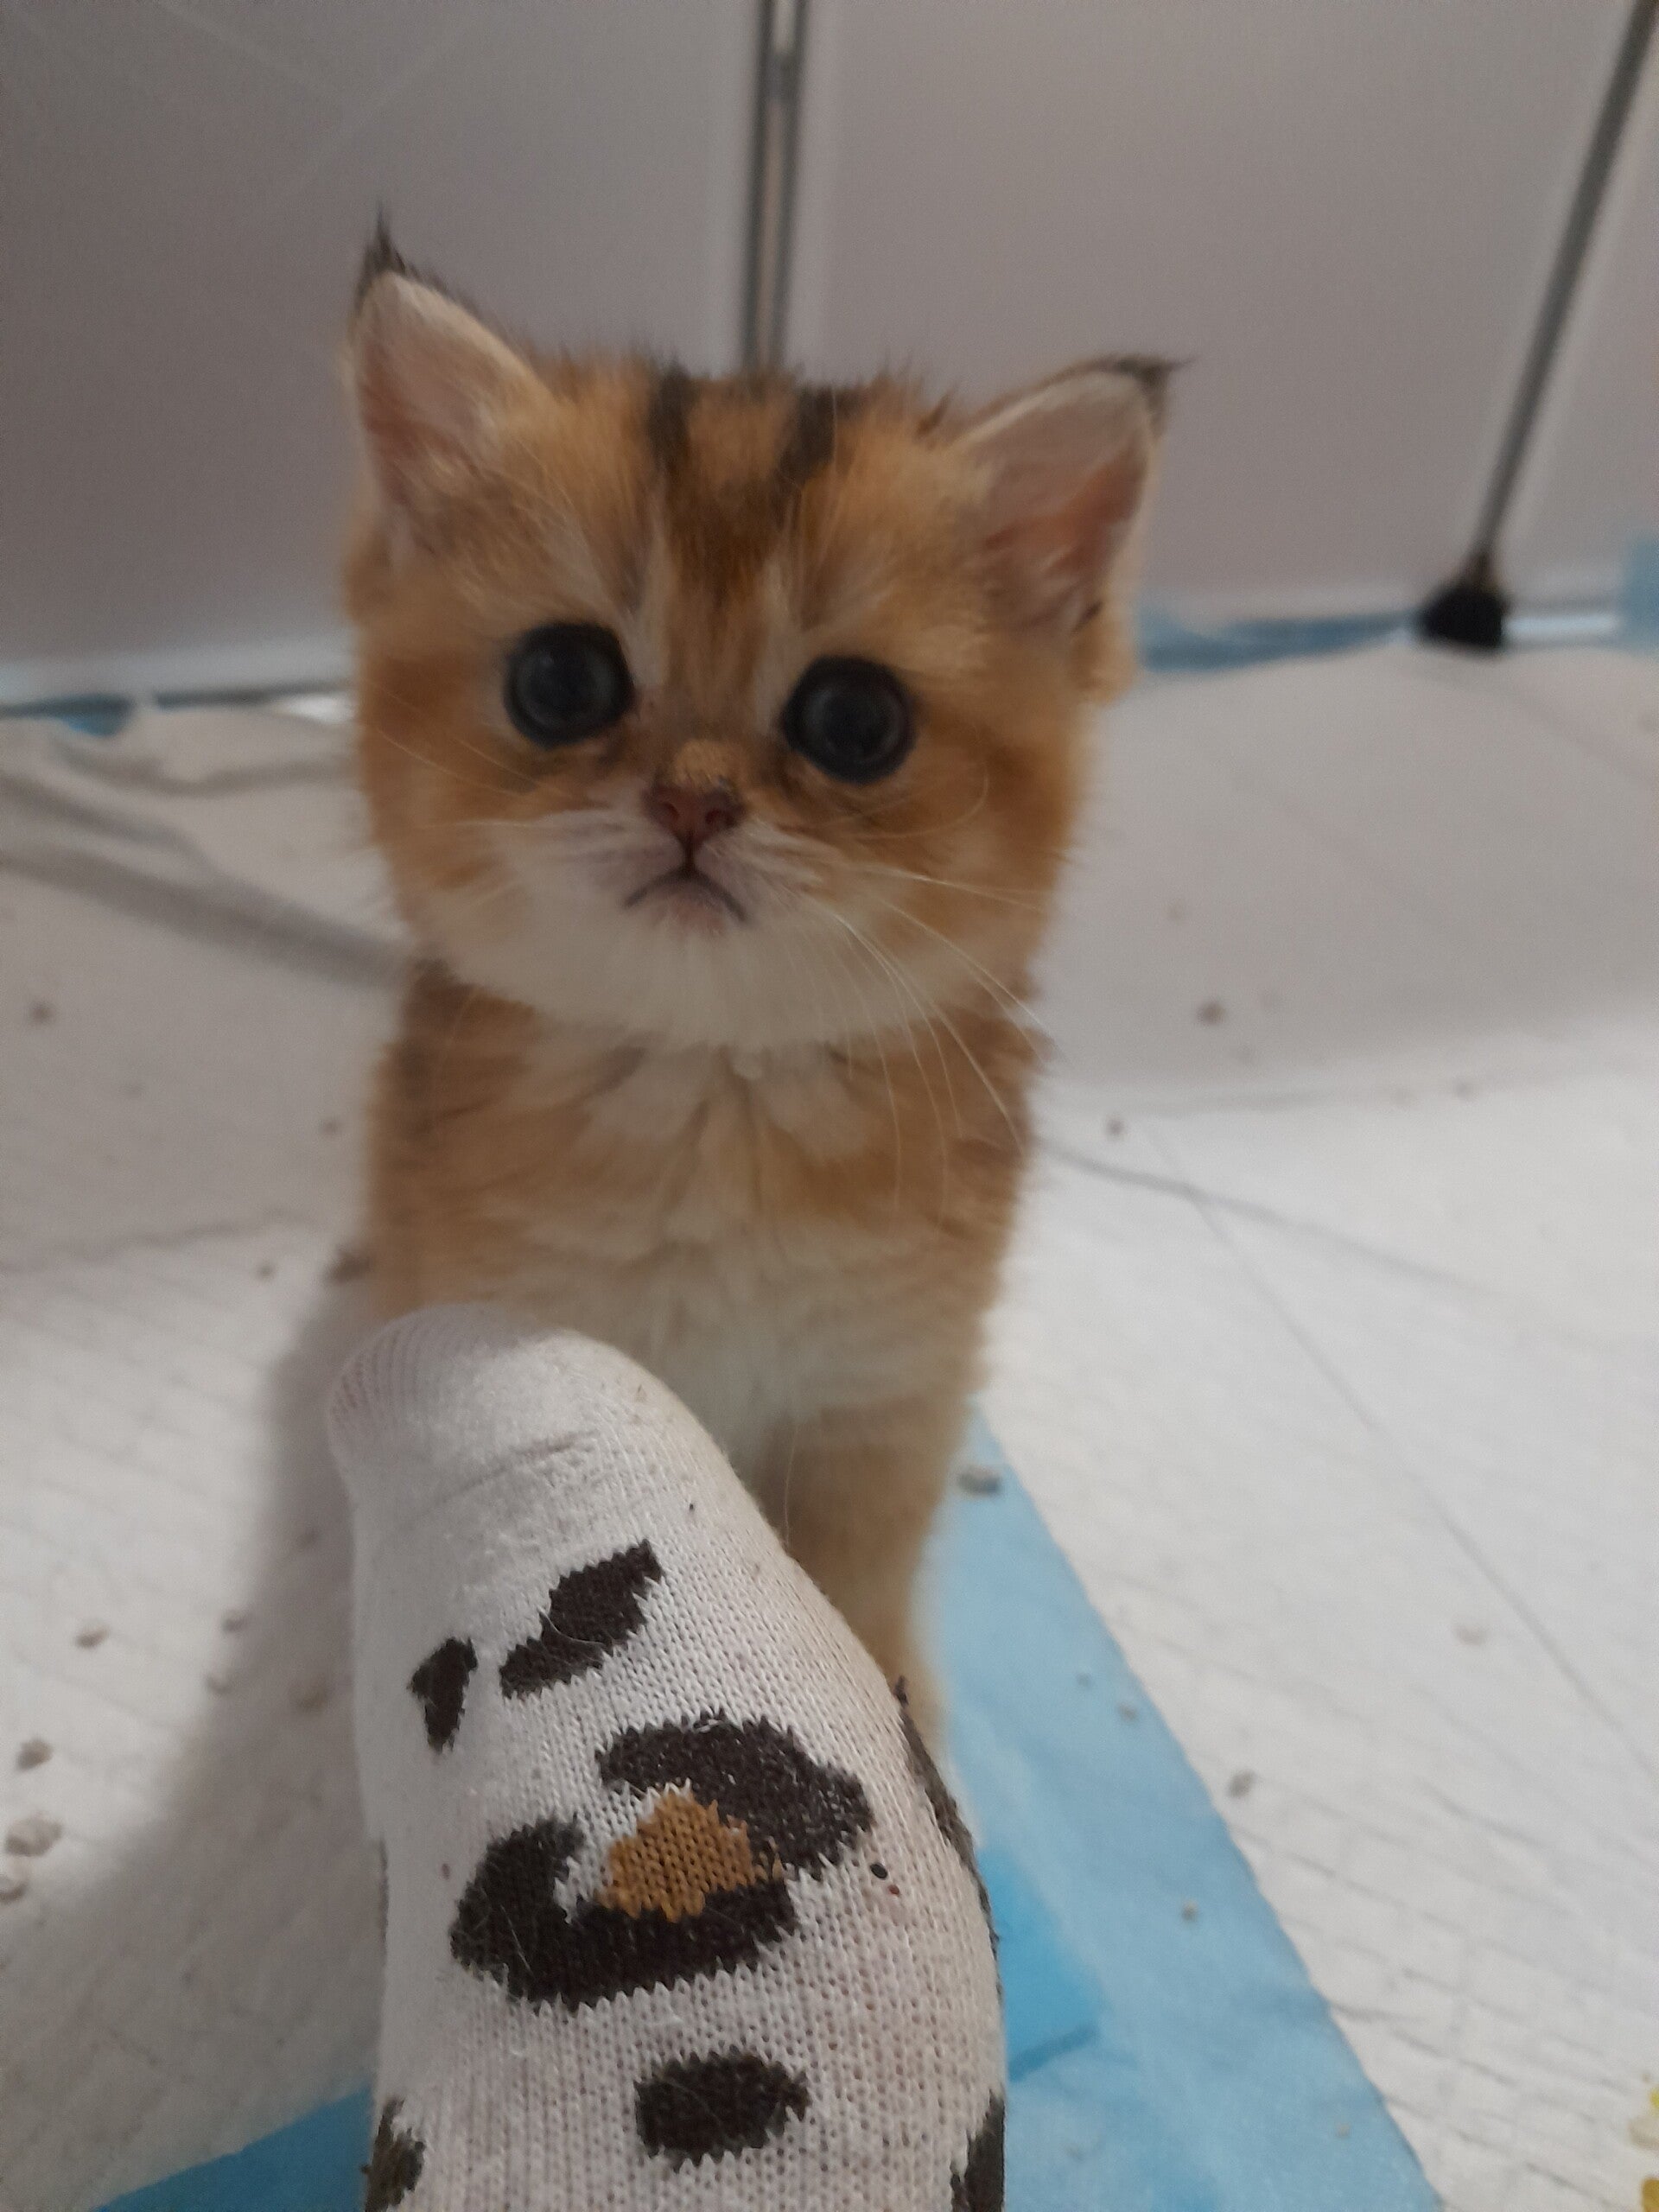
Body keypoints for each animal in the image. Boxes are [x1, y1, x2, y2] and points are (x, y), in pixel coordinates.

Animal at [343, 223, 1163, 1724]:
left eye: (855, 719)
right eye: (563, 681)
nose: (694, 800)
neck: (715, 1099)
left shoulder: (878, 1407)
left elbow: (856, 1602)